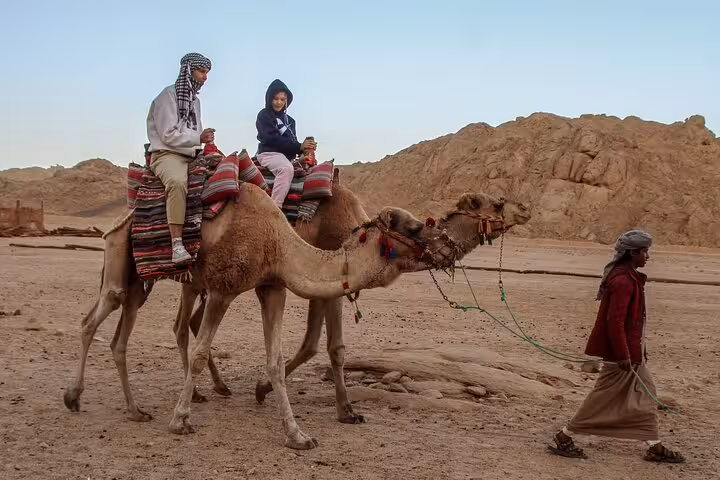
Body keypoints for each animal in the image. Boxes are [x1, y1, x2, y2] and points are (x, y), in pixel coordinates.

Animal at [63, 181, 457, 449]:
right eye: (414, 227)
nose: (449, 246)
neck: (278, 241)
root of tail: (123, 215)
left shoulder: (272, 287)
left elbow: (276, 361)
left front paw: (297, 435)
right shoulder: (223, 289)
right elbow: (201, 352)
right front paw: (179, 421)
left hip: (142, 282)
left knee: (121, 336)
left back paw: (135, 410)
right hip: (120, 257)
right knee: (92, 320)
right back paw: (74, 398)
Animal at [188, 191, 531, 423]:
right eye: (497, 204)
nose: (526, 209)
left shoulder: (321, 288)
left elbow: (312, 345)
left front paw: (263, 389)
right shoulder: (330, 288)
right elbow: (331, 348)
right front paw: (345, 410)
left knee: (188, 322)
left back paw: (210, 389)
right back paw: (201, 393)